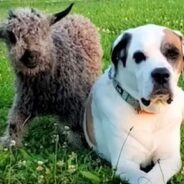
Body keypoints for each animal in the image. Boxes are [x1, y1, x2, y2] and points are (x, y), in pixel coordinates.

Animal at [0, 3, 102, 147]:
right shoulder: (23, 103)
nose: (30, 55)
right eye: (12, 36)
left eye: (43, 33)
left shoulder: (75, 106)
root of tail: (76, 16)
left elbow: (80, 133)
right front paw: (9, 146)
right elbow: (14, 126)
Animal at [83, 23, 184, 183]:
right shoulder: (125, 162)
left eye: (173, 53)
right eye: (139, 57)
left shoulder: (170, 158)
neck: (150, 114)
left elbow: (154, 176)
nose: (161, 74)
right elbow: (143, 179)